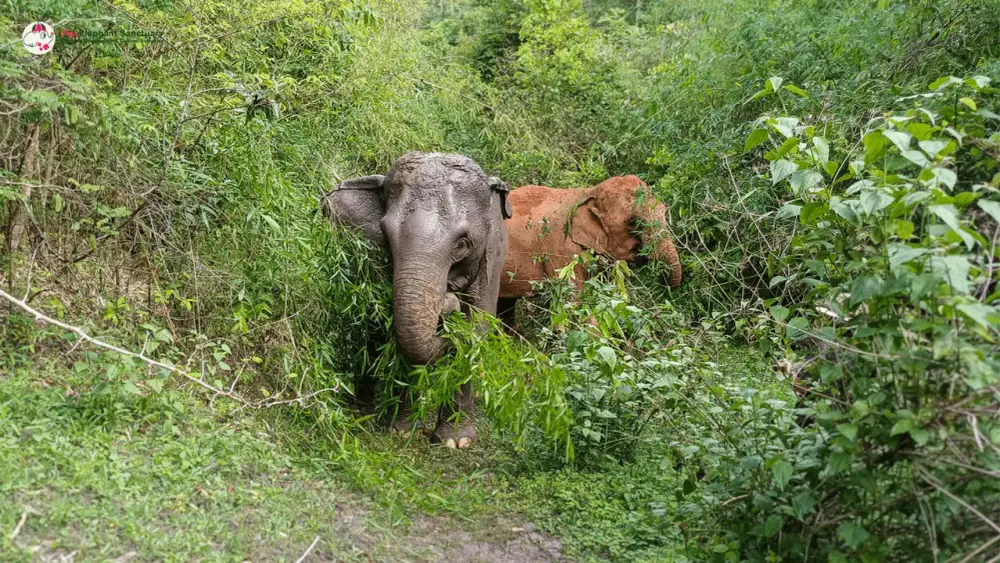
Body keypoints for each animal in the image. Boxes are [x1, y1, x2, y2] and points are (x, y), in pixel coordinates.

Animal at [321, 151, 512, 448]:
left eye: (462, 243)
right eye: (385, 235)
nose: (447, 301)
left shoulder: (491, 260)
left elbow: (475, 331)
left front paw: (455, 442)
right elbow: (391, 328)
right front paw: (402, 431)